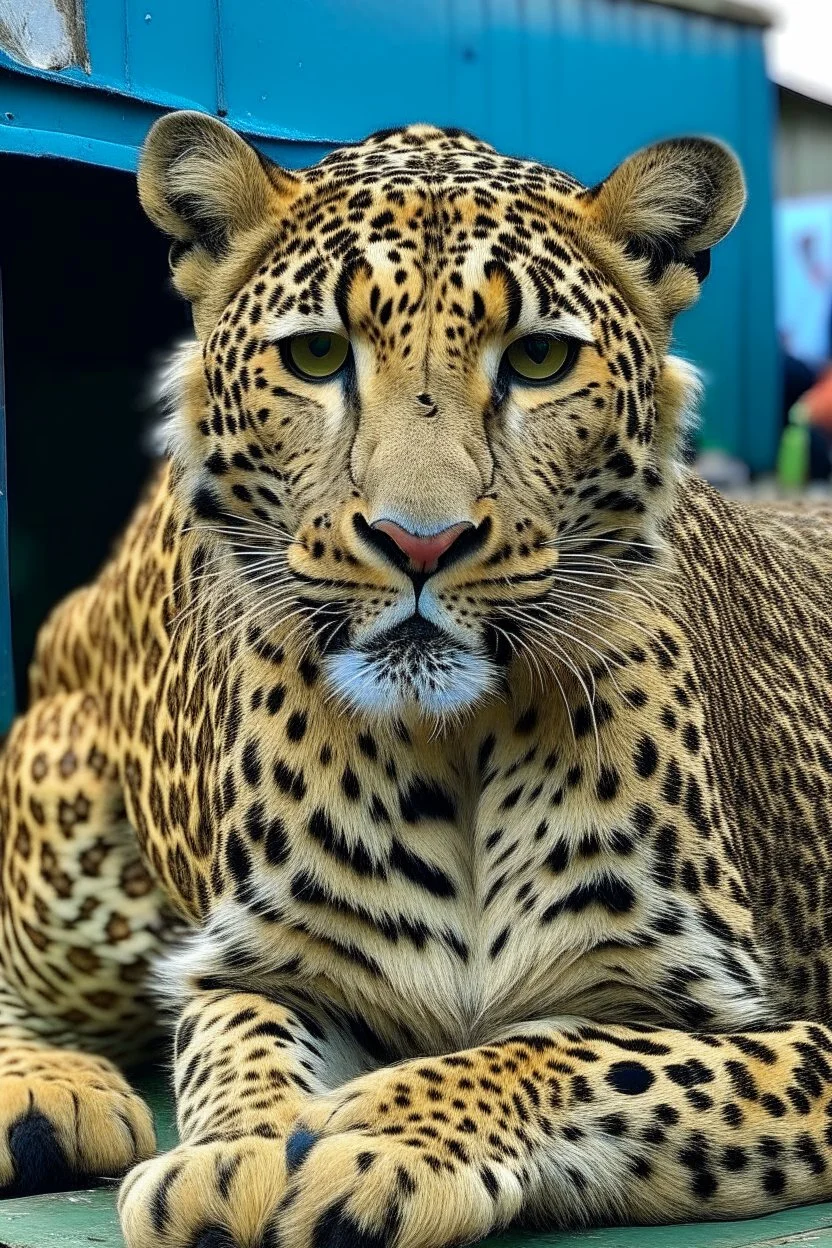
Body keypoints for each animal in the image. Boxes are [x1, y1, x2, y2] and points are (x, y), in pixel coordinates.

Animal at [1, 109, 832, 1248]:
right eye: (317, 354)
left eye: (537, 358)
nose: (418, 543)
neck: (457, 748)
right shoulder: (266, 963)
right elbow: (235, 1031)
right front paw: (241, 1151)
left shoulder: (775, 1026)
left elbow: (581, 1052)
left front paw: (377, 1135)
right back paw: (46, 1093)